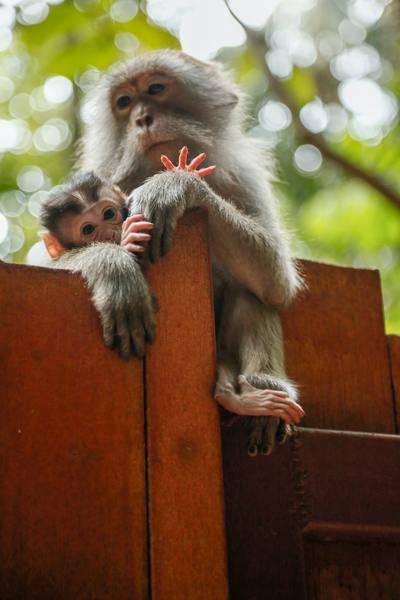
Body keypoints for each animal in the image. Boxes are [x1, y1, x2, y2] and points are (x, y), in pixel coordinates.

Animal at [67, 51, 304, 454]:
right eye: (124, 102)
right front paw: (115, 269)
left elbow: (277, 282)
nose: (142, 119)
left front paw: (174, 183)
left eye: (156, 89)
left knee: (252, 291)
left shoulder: (244, 176)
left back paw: (259, 394)